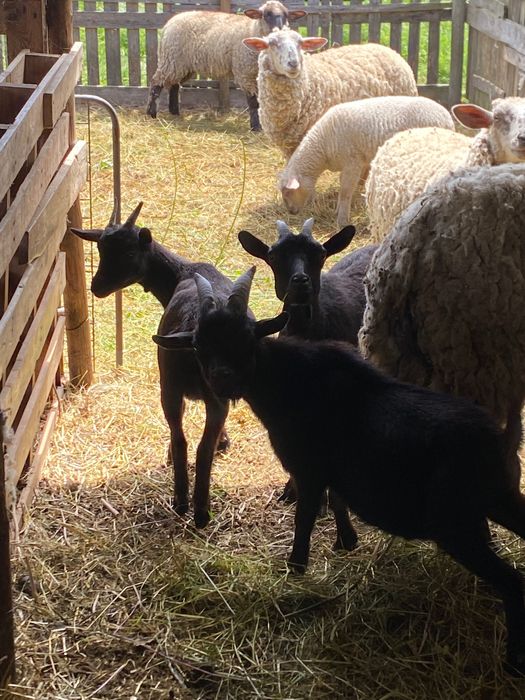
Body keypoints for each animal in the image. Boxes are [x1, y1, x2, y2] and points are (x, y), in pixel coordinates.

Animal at [71, 203, 235, 528]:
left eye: (128, 253)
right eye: (101, 250)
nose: (97, 287)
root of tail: (191, 329)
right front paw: (224, 442)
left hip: (172, 385)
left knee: (182, 438)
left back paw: (183, 501)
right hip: (185, 386)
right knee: (198, 446)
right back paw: (198, 510)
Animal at [154, 267, 525, 675]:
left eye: (248, 336)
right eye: (198, 344)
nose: (221, 379)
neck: (289, 382)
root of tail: (494, 441)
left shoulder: (307, 470)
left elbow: (304, 519)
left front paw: (296, 568)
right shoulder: (331, 473)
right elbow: (339, 500)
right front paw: (346, 541)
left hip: (456, 524)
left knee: (513, 582)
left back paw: (513, 663)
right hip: (501, 499)